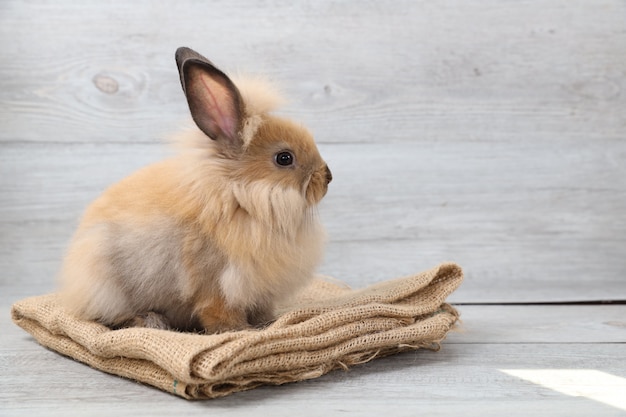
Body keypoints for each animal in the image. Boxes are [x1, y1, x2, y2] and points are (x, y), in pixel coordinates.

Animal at [58, 46, 332, 332]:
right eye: (284, 158)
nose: (328, 177)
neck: (240, 199)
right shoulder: (217, 286)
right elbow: (218, 313)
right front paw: (238, 331)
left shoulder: (258, 291)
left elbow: (262, 310)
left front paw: (267, 323)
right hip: (106, 286)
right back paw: (151, 321)